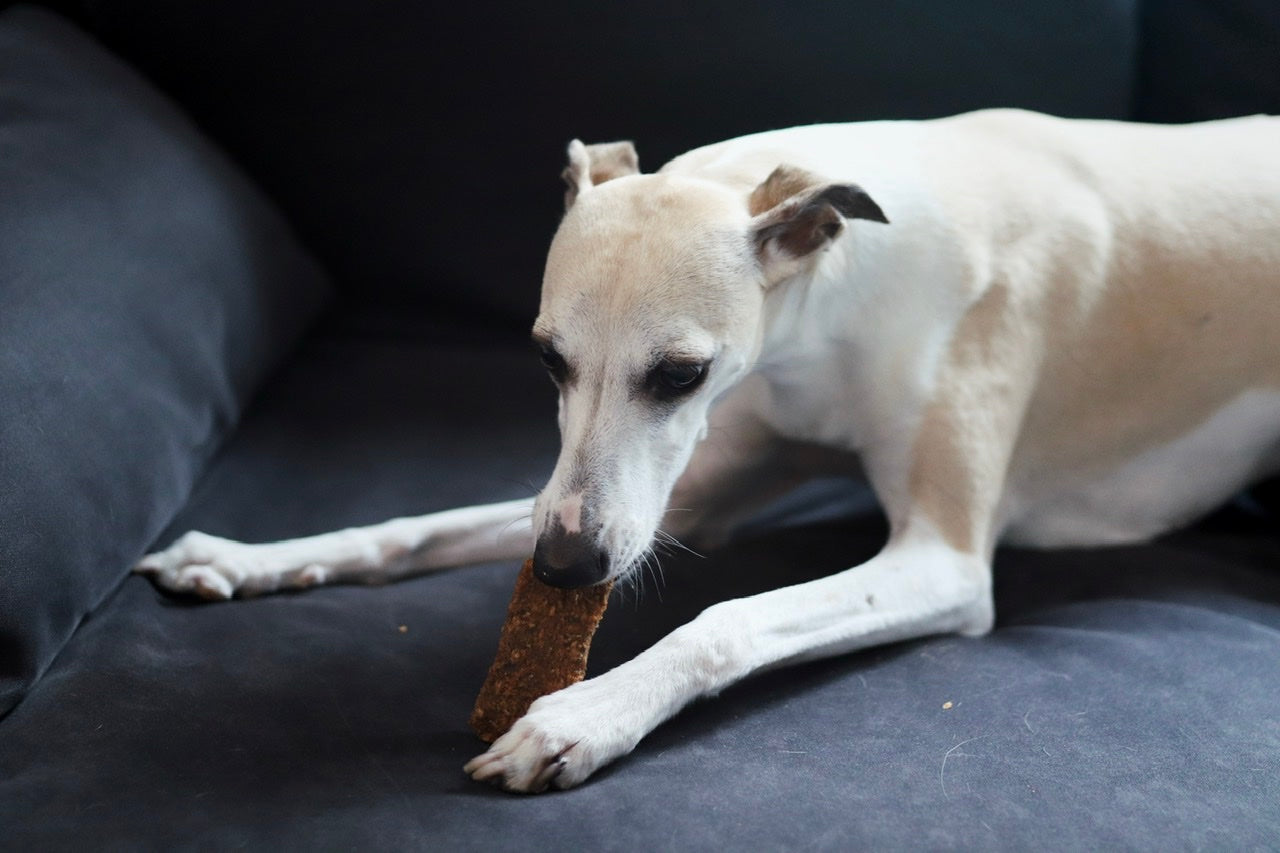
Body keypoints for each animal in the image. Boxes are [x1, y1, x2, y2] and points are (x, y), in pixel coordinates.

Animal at [137, 108, 1280, 788]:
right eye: (546, 357)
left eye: (680, 373)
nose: (565, 569)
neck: (836, 303)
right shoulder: (671, 501)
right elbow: (414, 526)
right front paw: (244, 555)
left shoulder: (943, 561)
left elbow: (727, 617)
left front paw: (584, 712)